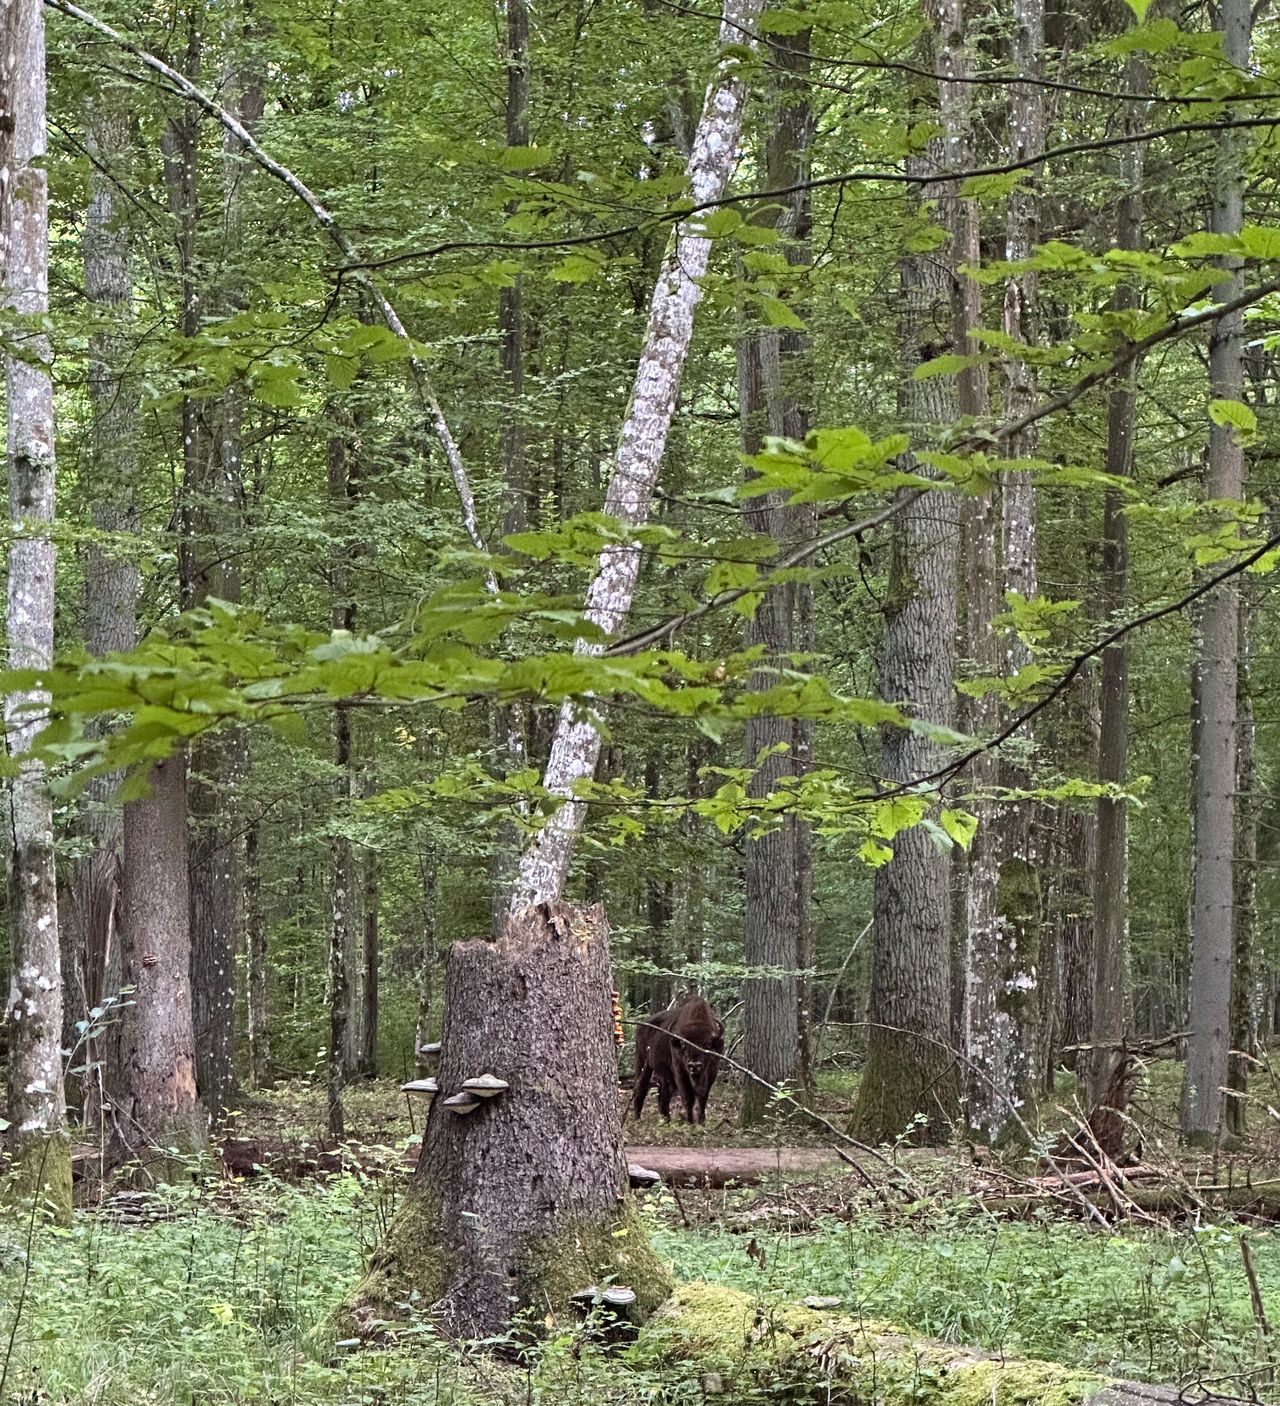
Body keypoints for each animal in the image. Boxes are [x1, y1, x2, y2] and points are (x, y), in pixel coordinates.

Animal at [632, 995, 725, 1124]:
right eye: (683, 1046)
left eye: (707, 1045)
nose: (694, 1065)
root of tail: (641, 1026)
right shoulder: (680, 1071)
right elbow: (688, 1098)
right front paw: (691, 1122)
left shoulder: (712, 1071)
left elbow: (703, 1098)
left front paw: (702, 1122)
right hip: (643, 1064)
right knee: (641, 1089)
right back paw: (637, 1118)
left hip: (663, 1073)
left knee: (663, 1095)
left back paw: (666, 1119)